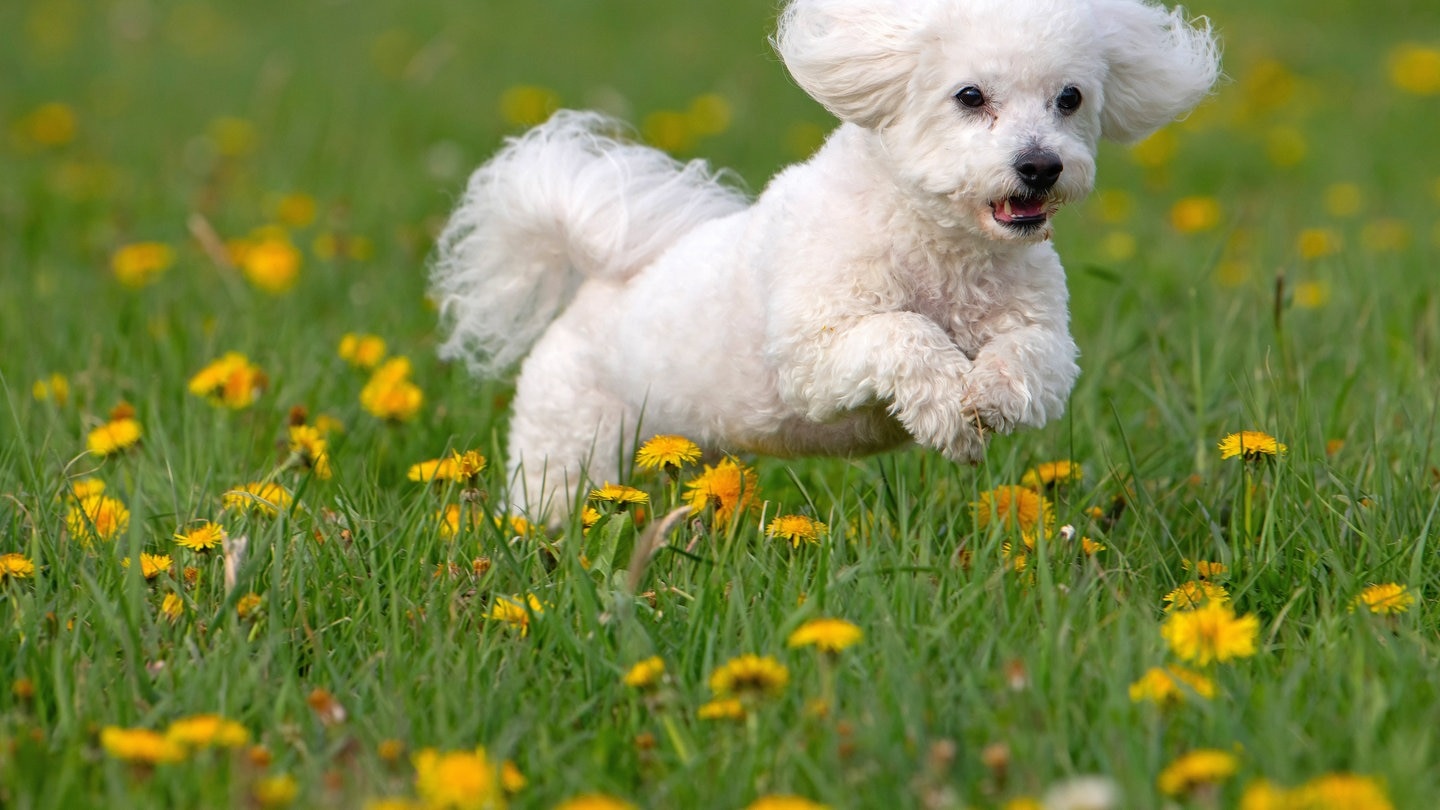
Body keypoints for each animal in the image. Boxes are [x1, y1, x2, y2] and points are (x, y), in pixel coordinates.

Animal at [432, 0, 1221, 518]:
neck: (941, 244)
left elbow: (1027, 359)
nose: (1041, 166)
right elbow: (904, 332)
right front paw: (947, 408)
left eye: (1070, 98)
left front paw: (987, 399)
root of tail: (599, 278)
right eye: (970, 95)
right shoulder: (814, 354)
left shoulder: (1044, 336)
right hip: (568, 446)